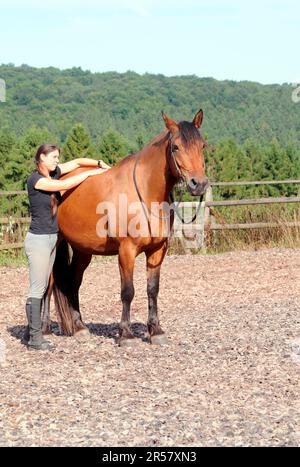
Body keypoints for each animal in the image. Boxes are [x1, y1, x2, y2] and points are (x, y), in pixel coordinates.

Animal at [48, 110, 209, 348]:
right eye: (176, 147)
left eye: (202, 145)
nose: (198, 184)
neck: (145, 193)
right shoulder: (126, 251)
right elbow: (128, 292)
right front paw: (125, 334)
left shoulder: (157, 251)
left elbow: (152, 290)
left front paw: (155, 331)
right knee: (48, 283)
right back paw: (44, 329)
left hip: (82, 250)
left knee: (73, 283)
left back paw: (79, 327)